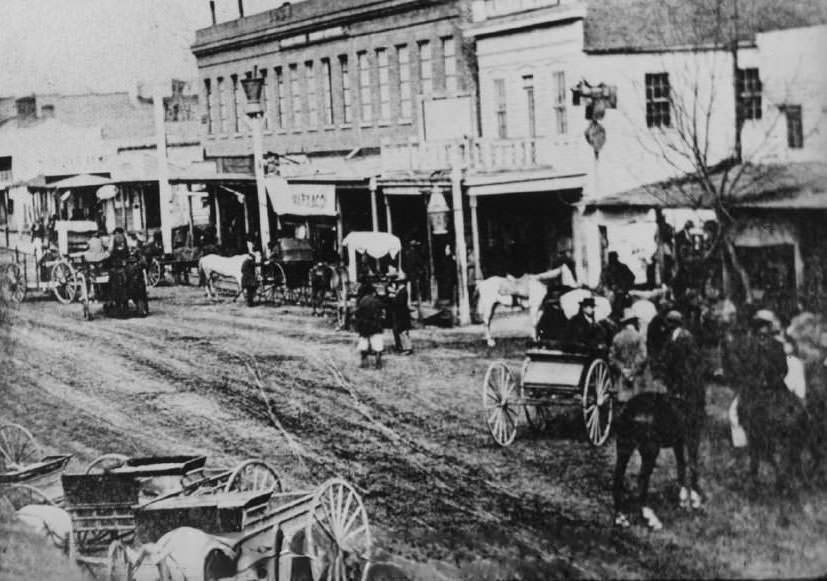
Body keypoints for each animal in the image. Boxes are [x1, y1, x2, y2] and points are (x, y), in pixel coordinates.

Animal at [612, 392, 700, 528]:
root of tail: (628, 412)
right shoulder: (691, 436)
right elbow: (692, 466)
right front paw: (694, 501)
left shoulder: (678, 441)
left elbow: (681, 465)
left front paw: (683, 498)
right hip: (650, 450)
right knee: (642, 480)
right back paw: (650, 518)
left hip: (624, 447)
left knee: (618, 477)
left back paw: (620, 517)